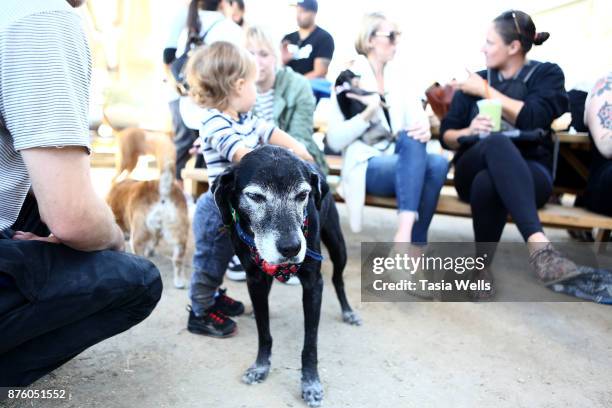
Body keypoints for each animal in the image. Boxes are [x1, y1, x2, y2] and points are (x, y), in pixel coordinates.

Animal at [213, 145, 360, 406]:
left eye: (302, 195)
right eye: (256, 196)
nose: (291, 248)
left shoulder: (313, 284)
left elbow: (310, 343)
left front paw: (310, 382)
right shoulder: (255, 279)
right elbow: (264, 332)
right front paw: (261, 366)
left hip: (338, 247)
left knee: (338, 280)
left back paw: (348, 311)